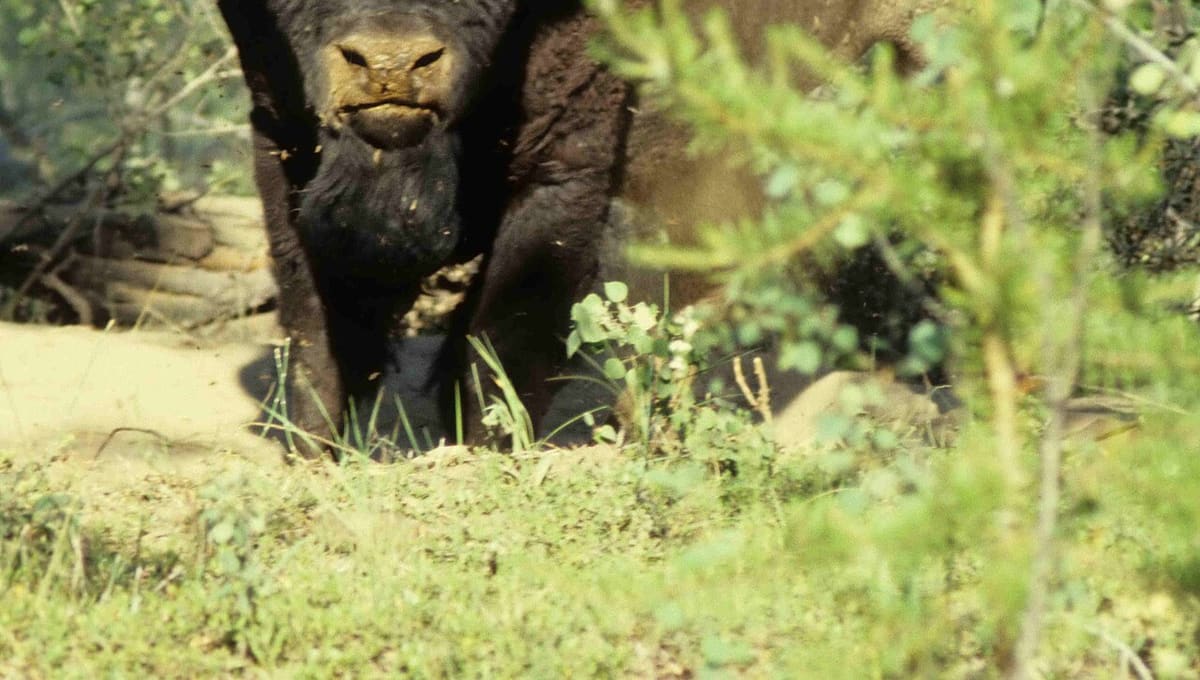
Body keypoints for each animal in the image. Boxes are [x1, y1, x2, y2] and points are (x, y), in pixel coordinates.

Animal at [217, 0, 932, 457]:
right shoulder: (281, 130)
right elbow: (313, 322)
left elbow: (509, 332)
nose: (390, 63)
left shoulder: (567, 156)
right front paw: (313, 453)